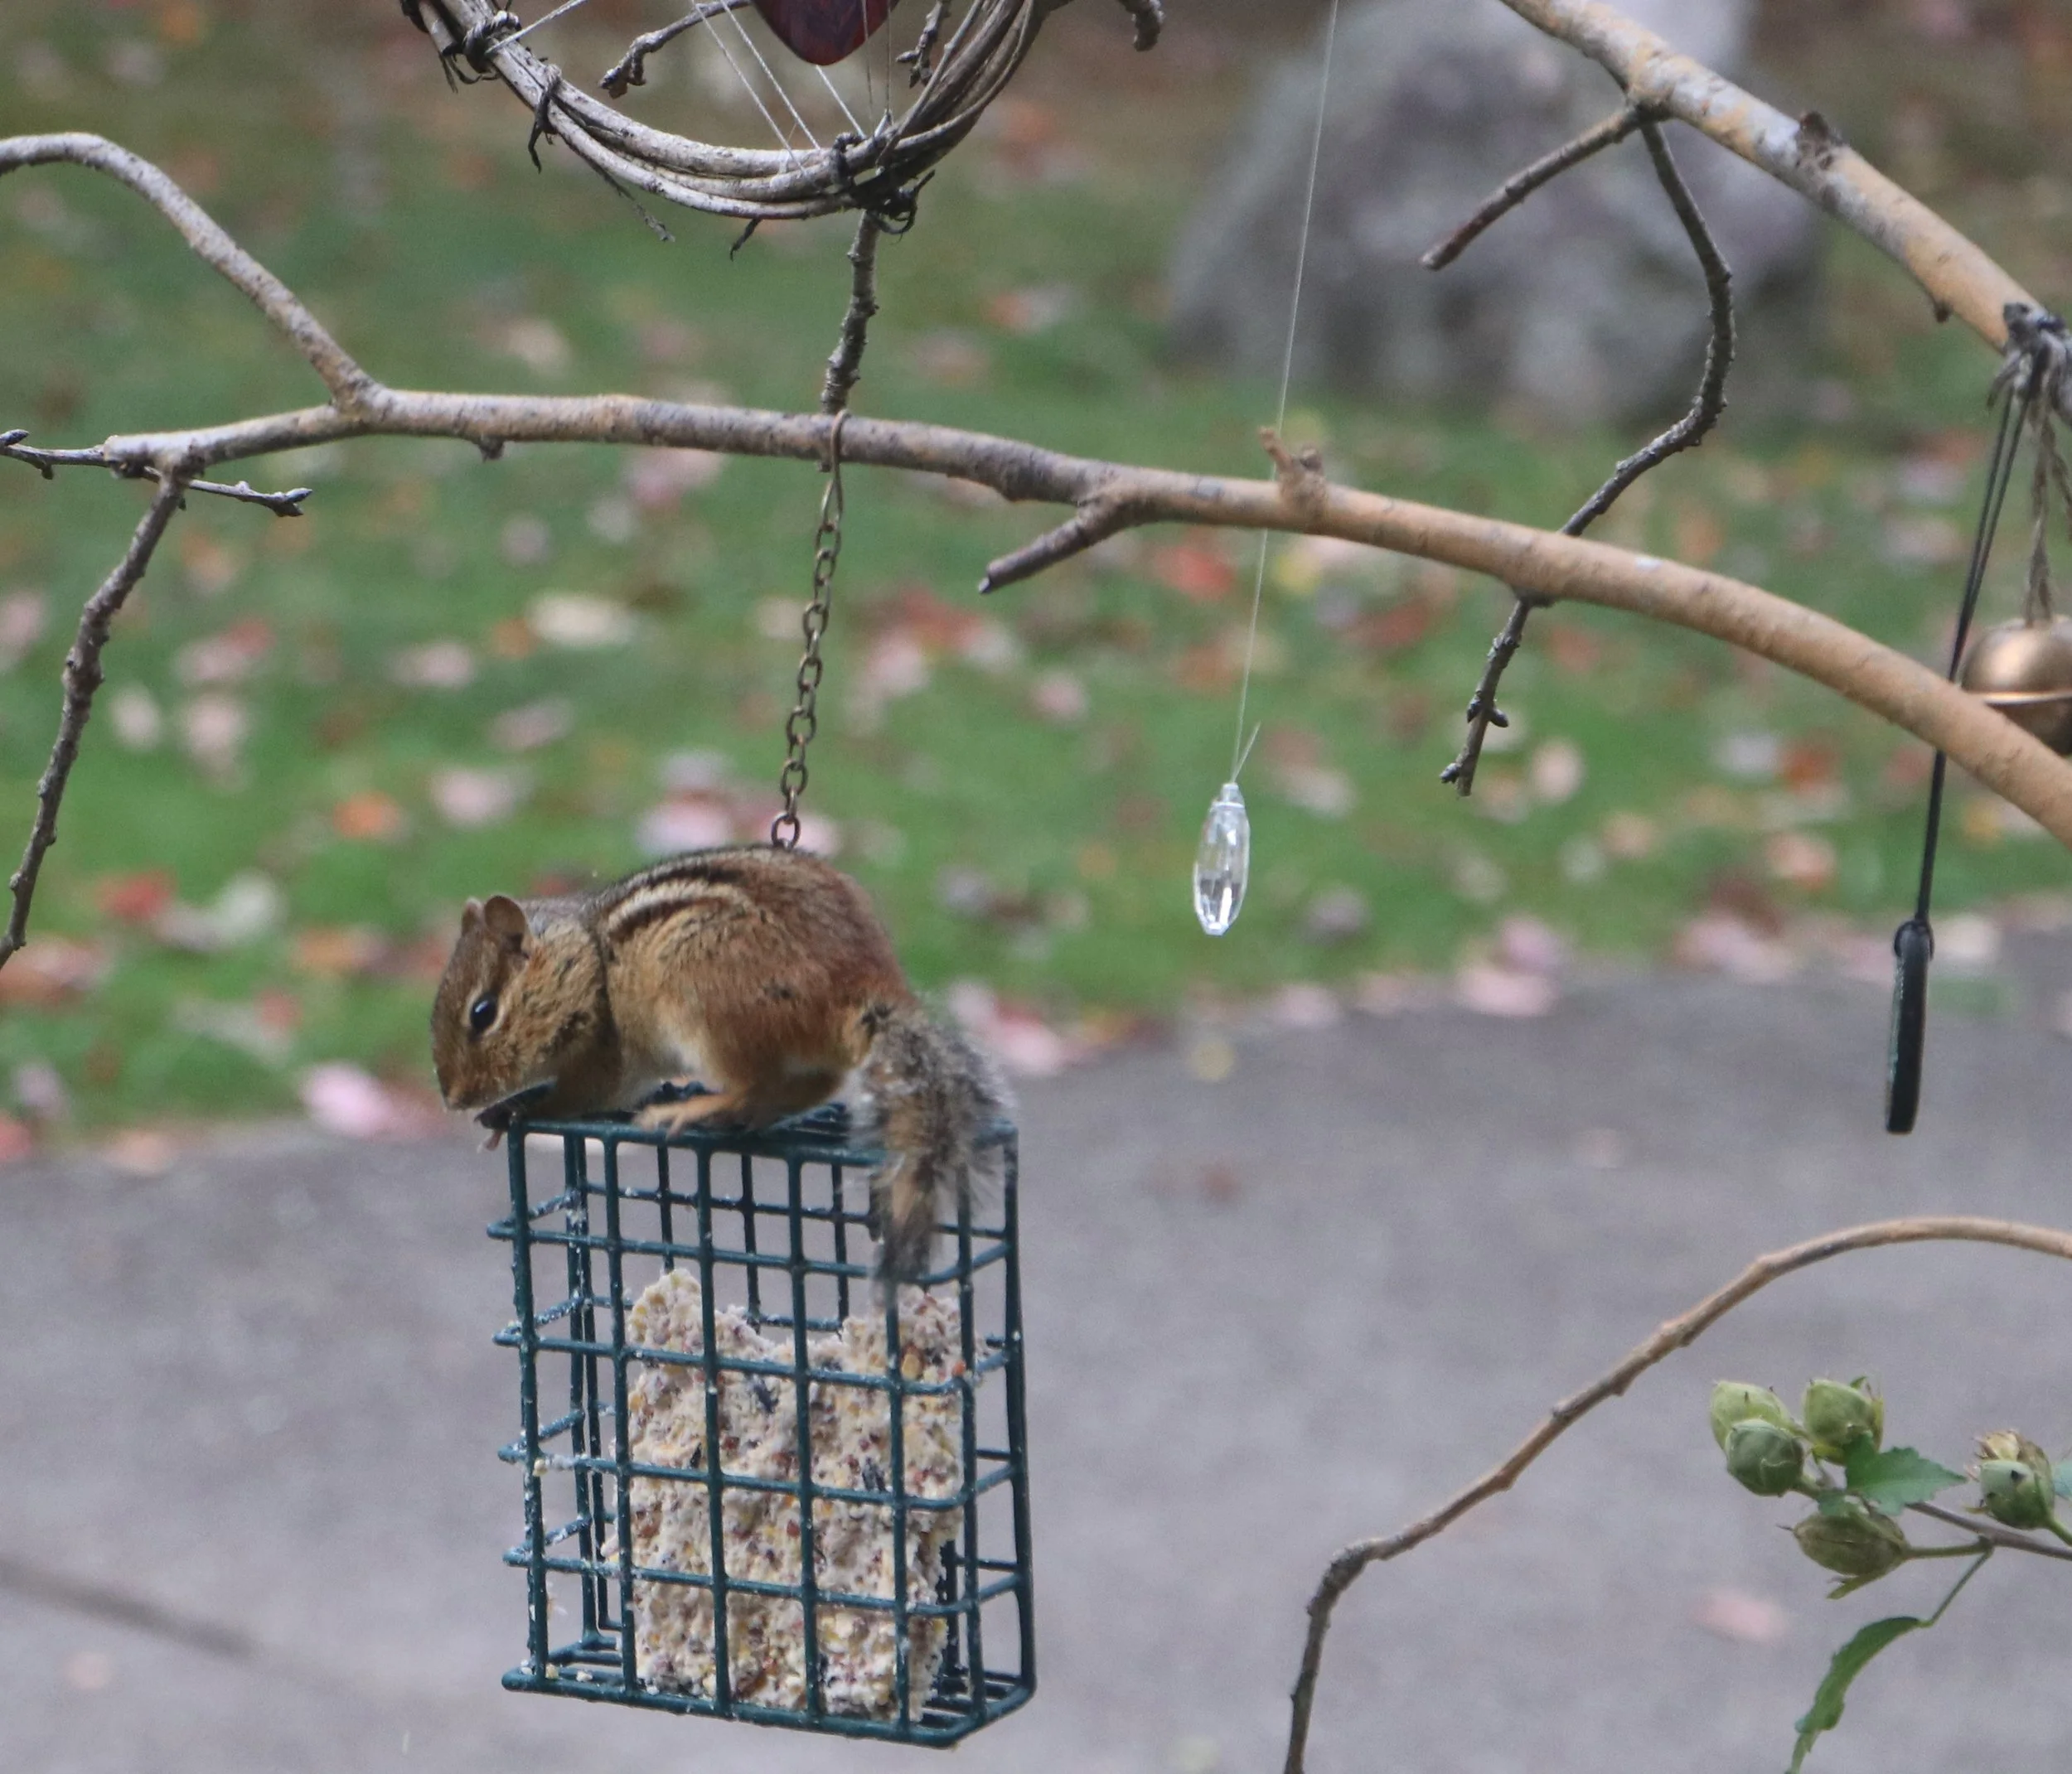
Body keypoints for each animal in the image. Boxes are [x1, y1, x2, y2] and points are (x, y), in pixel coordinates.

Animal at [429, 845, 1009, 1281]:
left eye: (482, 1013)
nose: (452, 1098)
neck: (588, 963)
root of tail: (865, 988)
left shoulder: (606, 1054)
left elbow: (581, 1094)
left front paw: (513, 1111)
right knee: (813, 1084)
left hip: (703, 1005)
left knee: (750, 1082)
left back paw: (694, 1110)